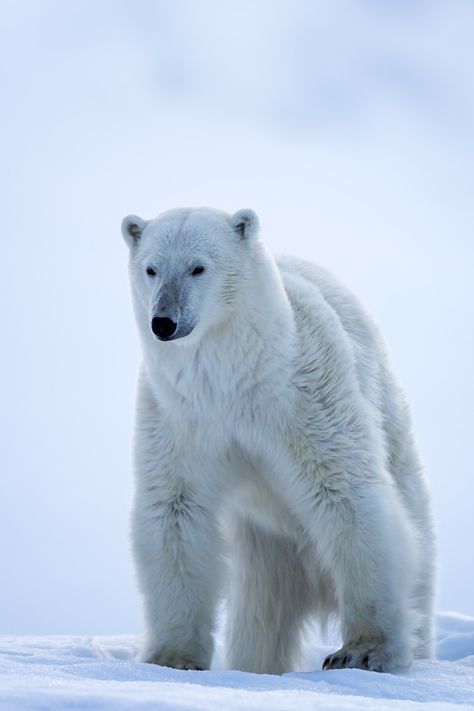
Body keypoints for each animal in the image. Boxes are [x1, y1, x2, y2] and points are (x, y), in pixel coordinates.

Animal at [120, 209, 436, 676]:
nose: (164, 321)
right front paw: (173, 658)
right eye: (151, 268)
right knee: (262, 612)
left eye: (198, 267)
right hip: (267, 547)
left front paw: (362, 651)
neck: (234, 375)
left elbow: (344, 491)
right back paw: (257, 663)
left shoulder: (303, 392)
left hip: (395, 438)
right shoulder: (181, 412)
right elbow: (176, 508)